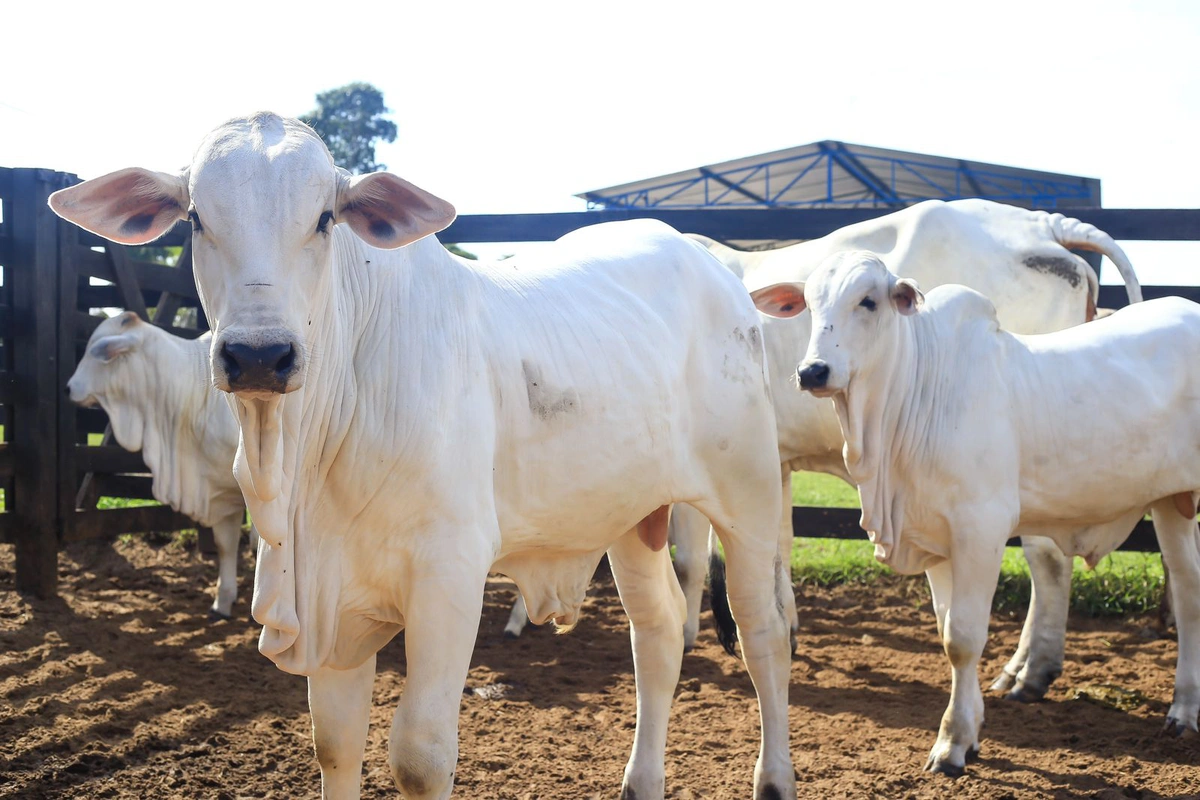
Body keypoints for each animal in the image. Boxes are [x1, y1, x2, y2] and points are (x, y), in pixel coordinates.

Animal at [753, 250, 1195, 777]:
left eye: (869, 301)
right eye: (810, 304)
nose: (813, 371)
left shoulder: (981, 530)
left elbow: (964, 638)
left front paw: (952, 743)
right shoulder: (932, 539)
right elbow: (947, 635)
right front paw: (972, 731)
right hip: (1171, 502)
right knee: (1188, 589)